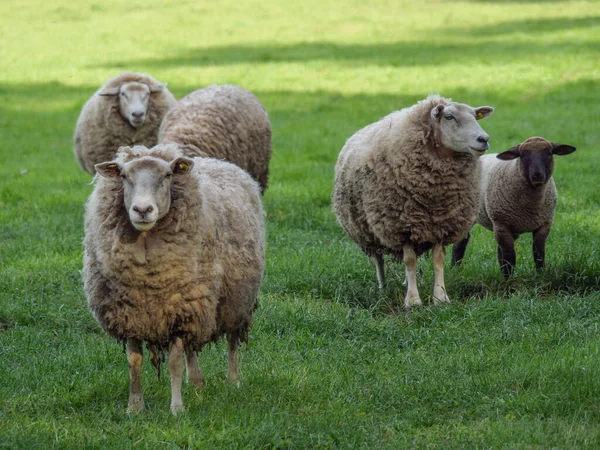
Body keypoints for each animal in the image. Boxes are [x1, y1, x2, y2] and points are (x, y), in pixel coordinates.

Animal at [330, 93, 494, 308]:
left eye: (476, 116)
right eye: (449, 117)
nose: (484, 139)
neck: (434, 194)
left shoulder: (441, 223)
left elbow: (438, 260)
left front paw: (440, 297)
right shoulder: (402, 225)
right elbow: (409, 261)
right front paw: (413, 301)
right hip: (369, 230)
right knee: (379, 259)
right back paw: (383, 288)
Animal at [450, 136, 576, 278]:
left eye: (549, 153)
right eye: (522, 155)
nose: (537, 175)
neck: (531, 206)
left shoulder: (544, 225)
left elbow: (538, 254)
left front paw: (540, 275)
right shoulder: (502, 225)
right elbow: (510, 257)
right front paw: (509, 280)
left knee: (498, 251)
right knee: (460, 243)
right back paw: (454, 269)